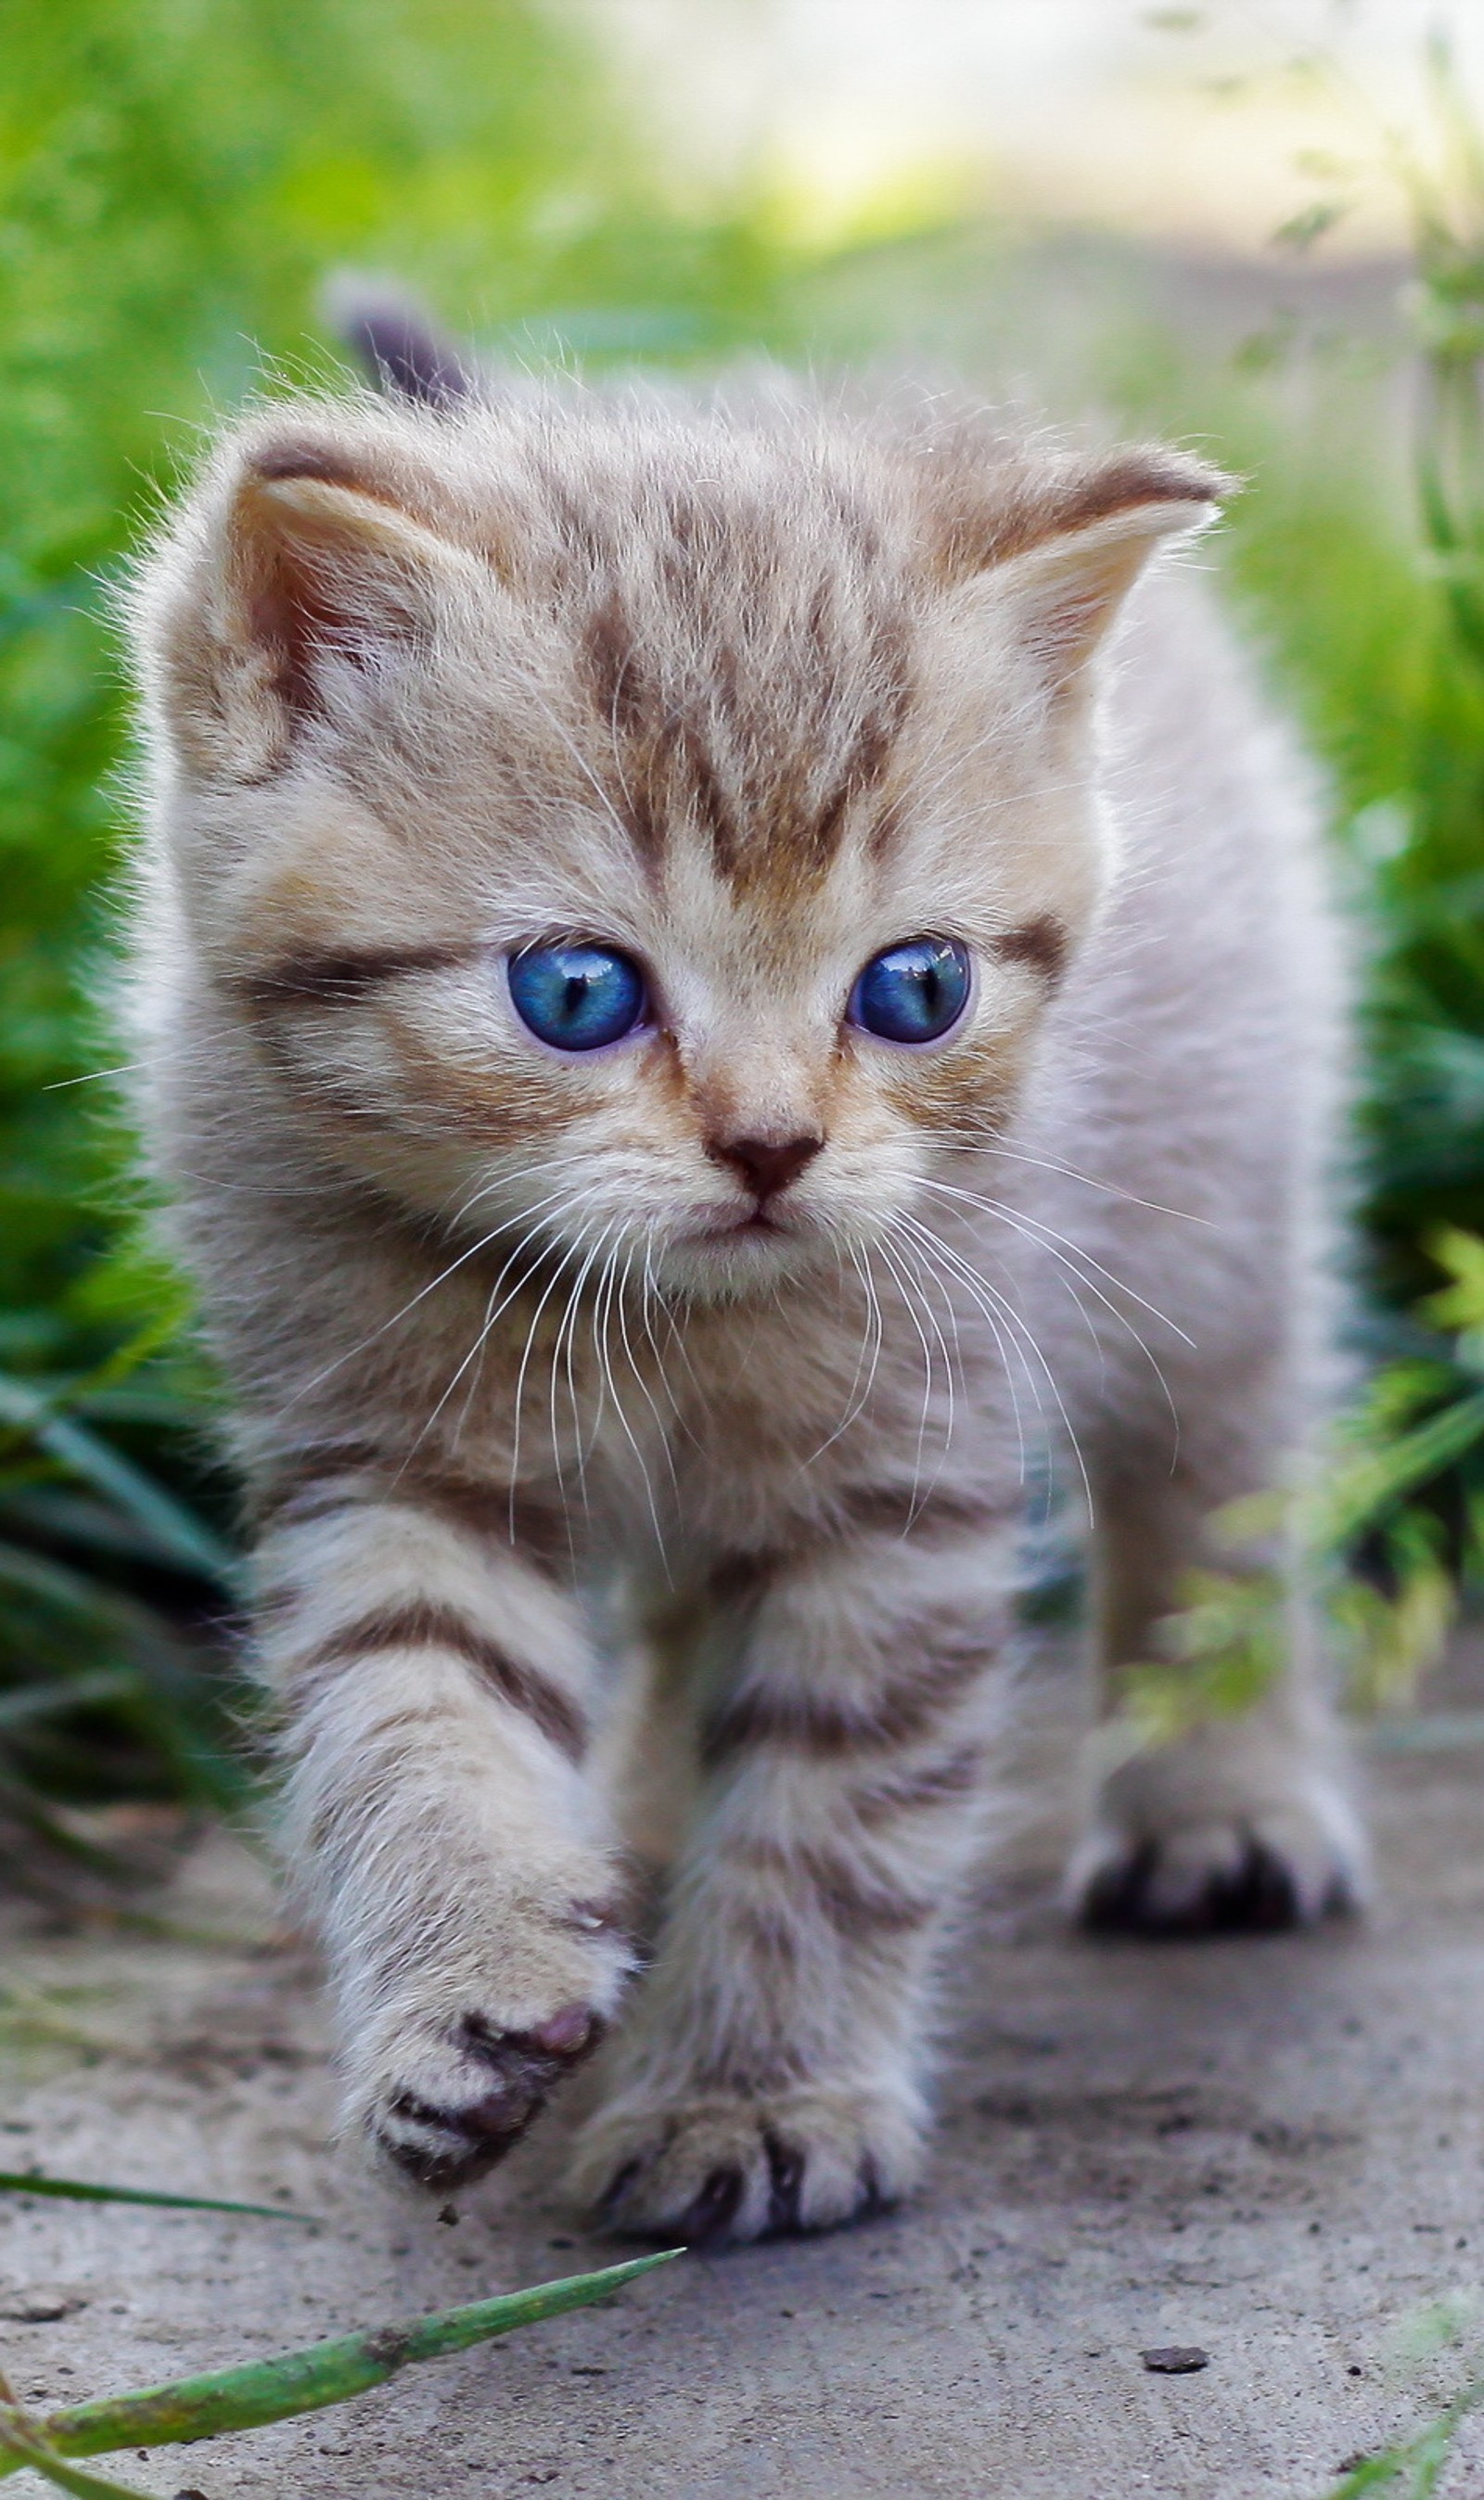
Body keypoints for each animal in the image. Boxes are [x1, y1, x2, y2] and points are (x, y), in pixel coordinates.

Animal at [124, 357, 1359, 2250]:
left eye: (915, 988)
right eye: (574, 992)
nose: (775, 1146)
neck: (652, 1328)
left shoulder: (902, 1483)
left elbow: (833, 1807)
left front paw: (754, 2096)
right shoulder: (379, 1455)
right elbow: (417, 1715)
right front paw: (468, 1981)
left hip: (1219, 1222)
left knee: (1215, 1496)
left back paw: (1220, 1798)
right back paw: (626, 1835)